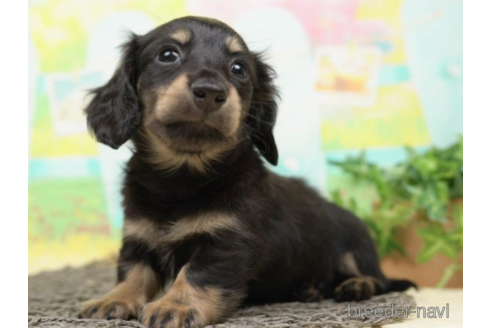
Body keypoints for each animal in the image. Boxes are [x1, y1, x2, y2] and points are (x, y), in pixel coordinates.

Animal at [78, 16, 416, 328]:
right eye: (168, 54)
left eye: (239, 68)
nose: (210, 91)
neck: (183, 177)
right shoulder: (139, 236)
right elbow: (133, 271)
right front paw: (113, 299)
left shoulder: (227, 240)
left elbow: (197, 272)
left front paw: (176, 305)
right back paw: (309, 289)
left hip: (355, 245)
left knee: (380, 281)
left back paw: (355, 285)